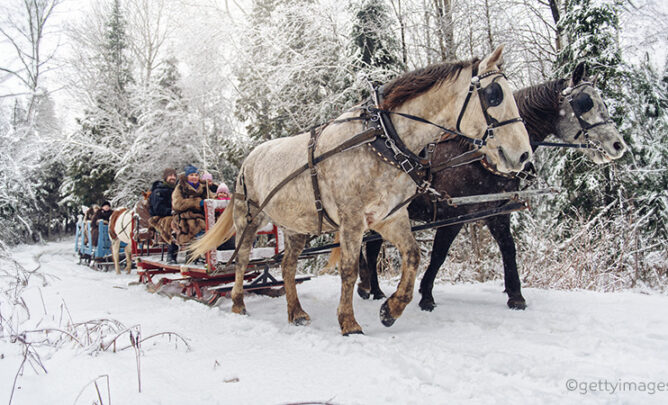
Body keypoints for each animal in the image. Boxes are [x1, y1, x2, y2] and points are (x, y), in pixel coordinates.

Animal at [352, 61, 628, 310]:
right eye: (585, 102)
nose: (618, 145)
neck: (477, 156)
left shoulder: (497, 212)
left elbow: (508, 249)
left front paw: (516, 296)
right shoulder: (453, 214)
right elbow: (439, 254)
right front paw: (426, 295)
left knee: (372, 249)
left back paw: (373, 289)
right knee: (372, 249)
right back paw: (372, 289)